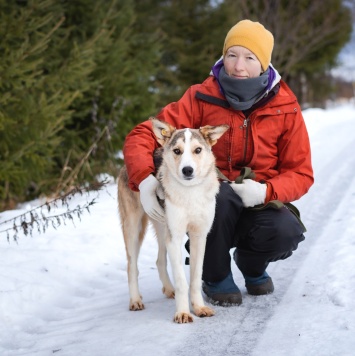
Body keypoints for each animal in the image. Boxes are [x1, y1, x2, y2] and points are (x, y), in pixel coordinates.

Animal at [119, 117, 231, 322]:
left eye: (197, 150)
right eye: (177, 151)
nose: (187, 170)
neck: (190, 193)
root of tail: (125, 165)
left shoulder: (199, 236)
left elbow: (195, 278)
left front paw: (199, 308)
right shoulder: (176, 237)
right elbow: (181, 281)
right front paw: (183, 313)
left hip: (163, 227)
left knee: (159, 260)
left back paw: (168, 289)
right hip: (134, 228)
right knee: (132, 266)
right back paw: (135, 300)